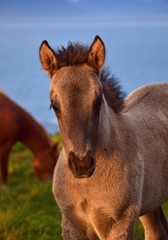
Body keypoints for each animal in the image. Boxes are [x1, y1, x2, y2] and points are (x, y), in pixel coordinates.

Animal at [39, 35, 168, 240]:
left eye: (98, 100)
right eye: (54, 105)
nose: (81, 164)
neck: (86, 185)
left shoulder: (120, 224)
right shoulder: (71, 225)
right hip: (152, 202)